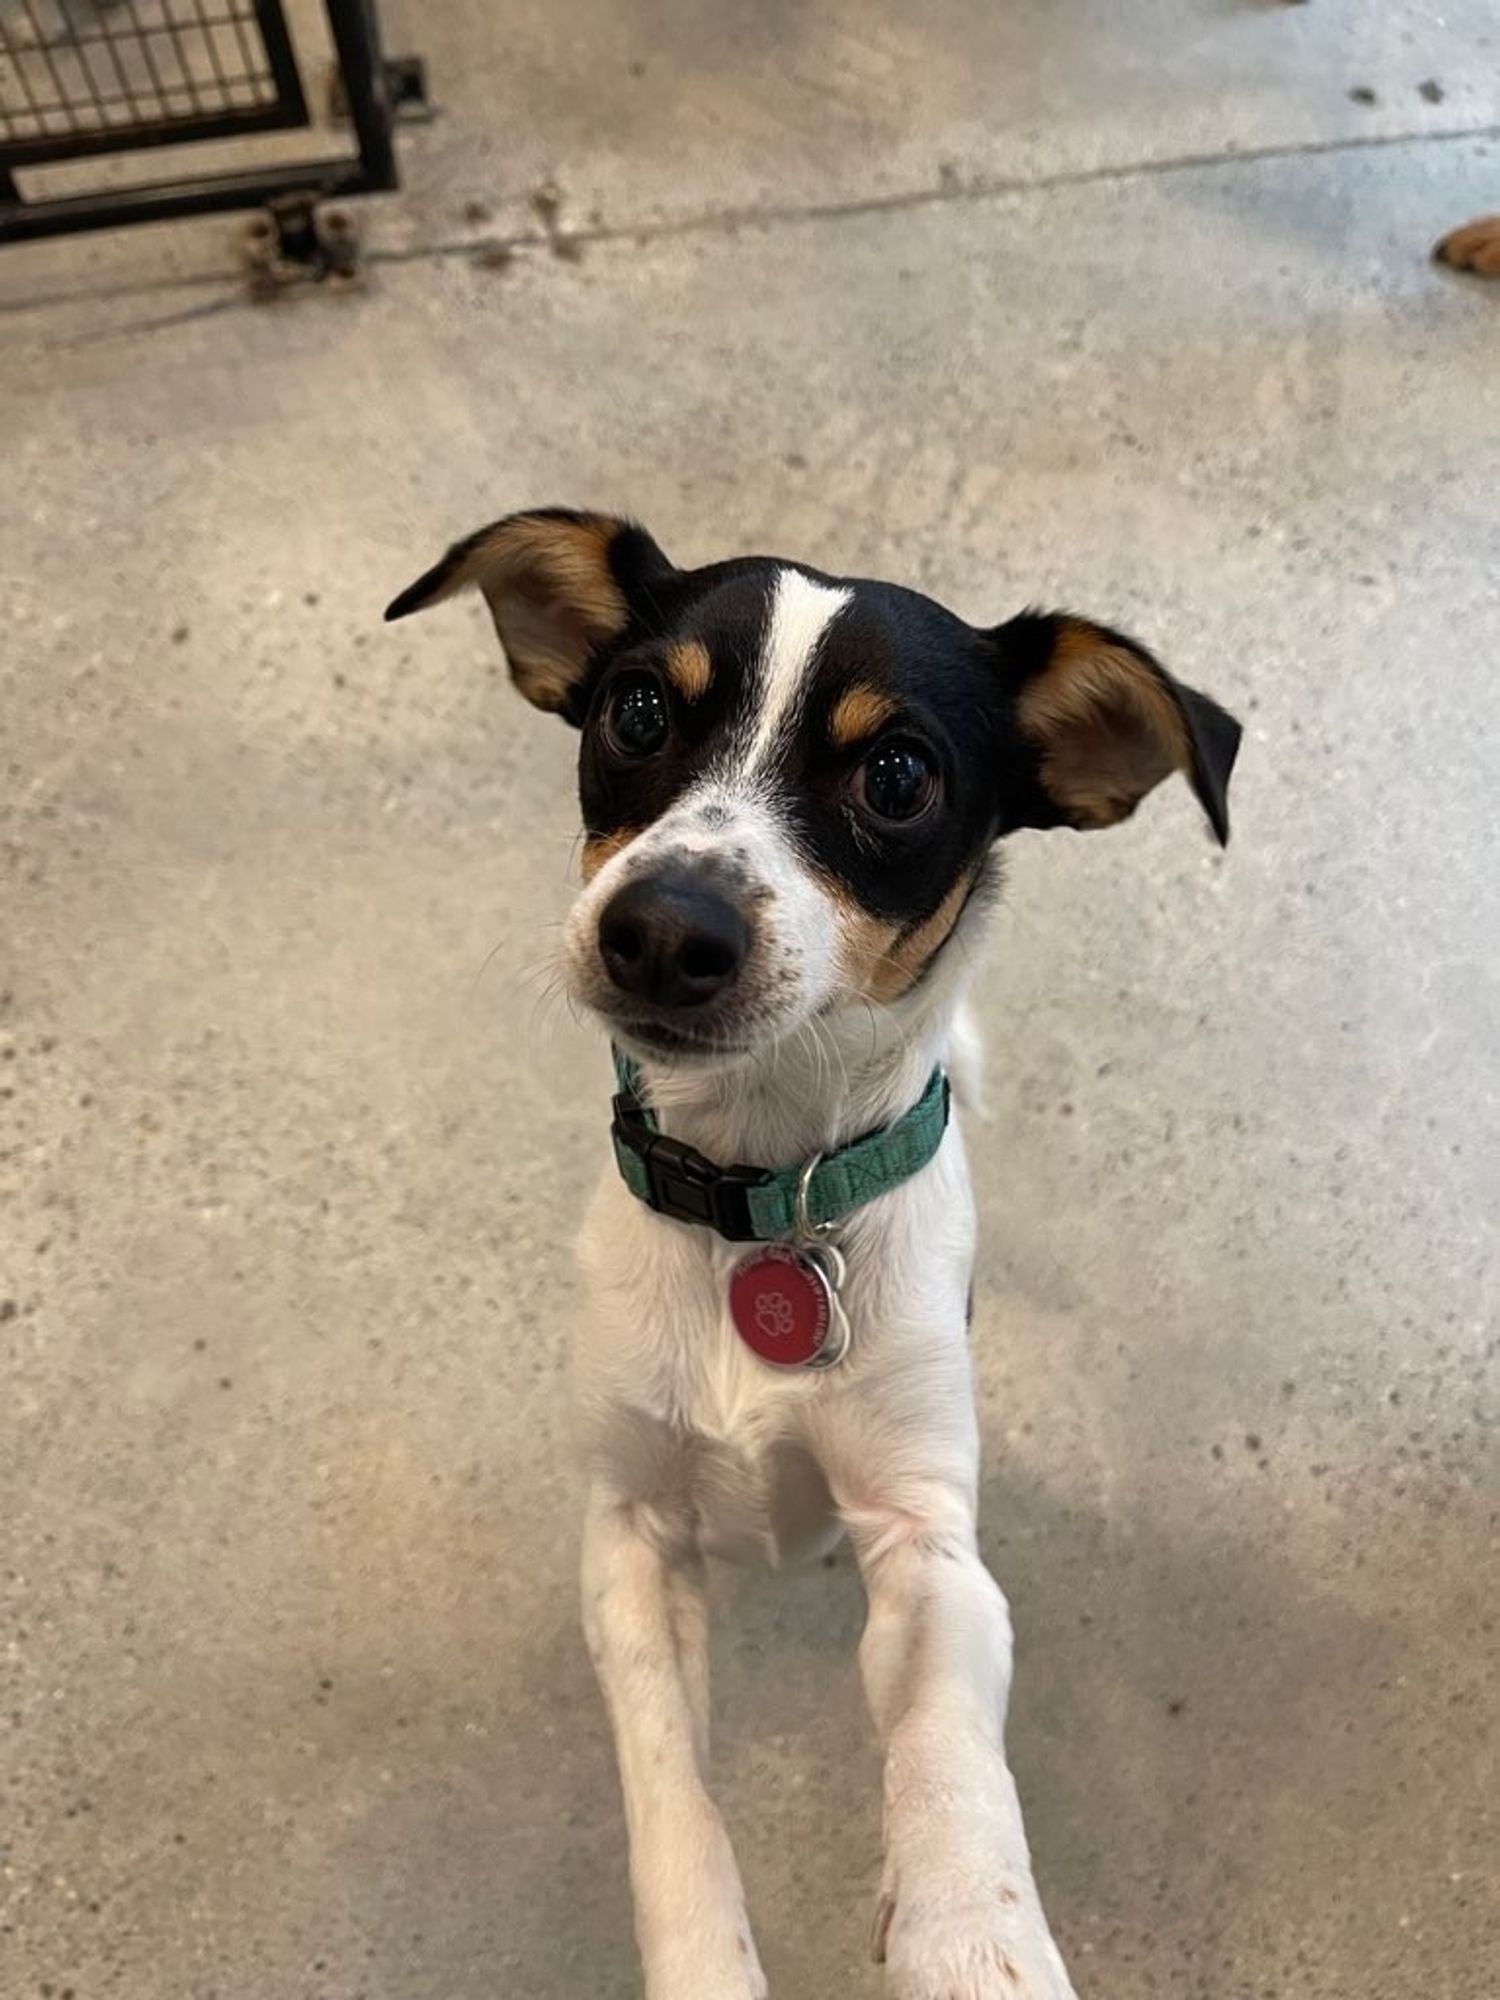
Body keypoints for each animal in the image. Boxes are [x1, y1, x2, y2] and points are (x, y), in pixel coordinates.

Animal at [388, 516, 1248, 2000]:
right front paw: (704, 1961)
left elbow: (949, 1755)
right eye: (637, 710)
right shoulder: (628, 1535)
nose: (664, 926)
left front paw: (973, 1939)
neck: (767, 1195)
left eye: (896, 775)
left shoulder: (926, 1543)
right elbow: (672, 1794)